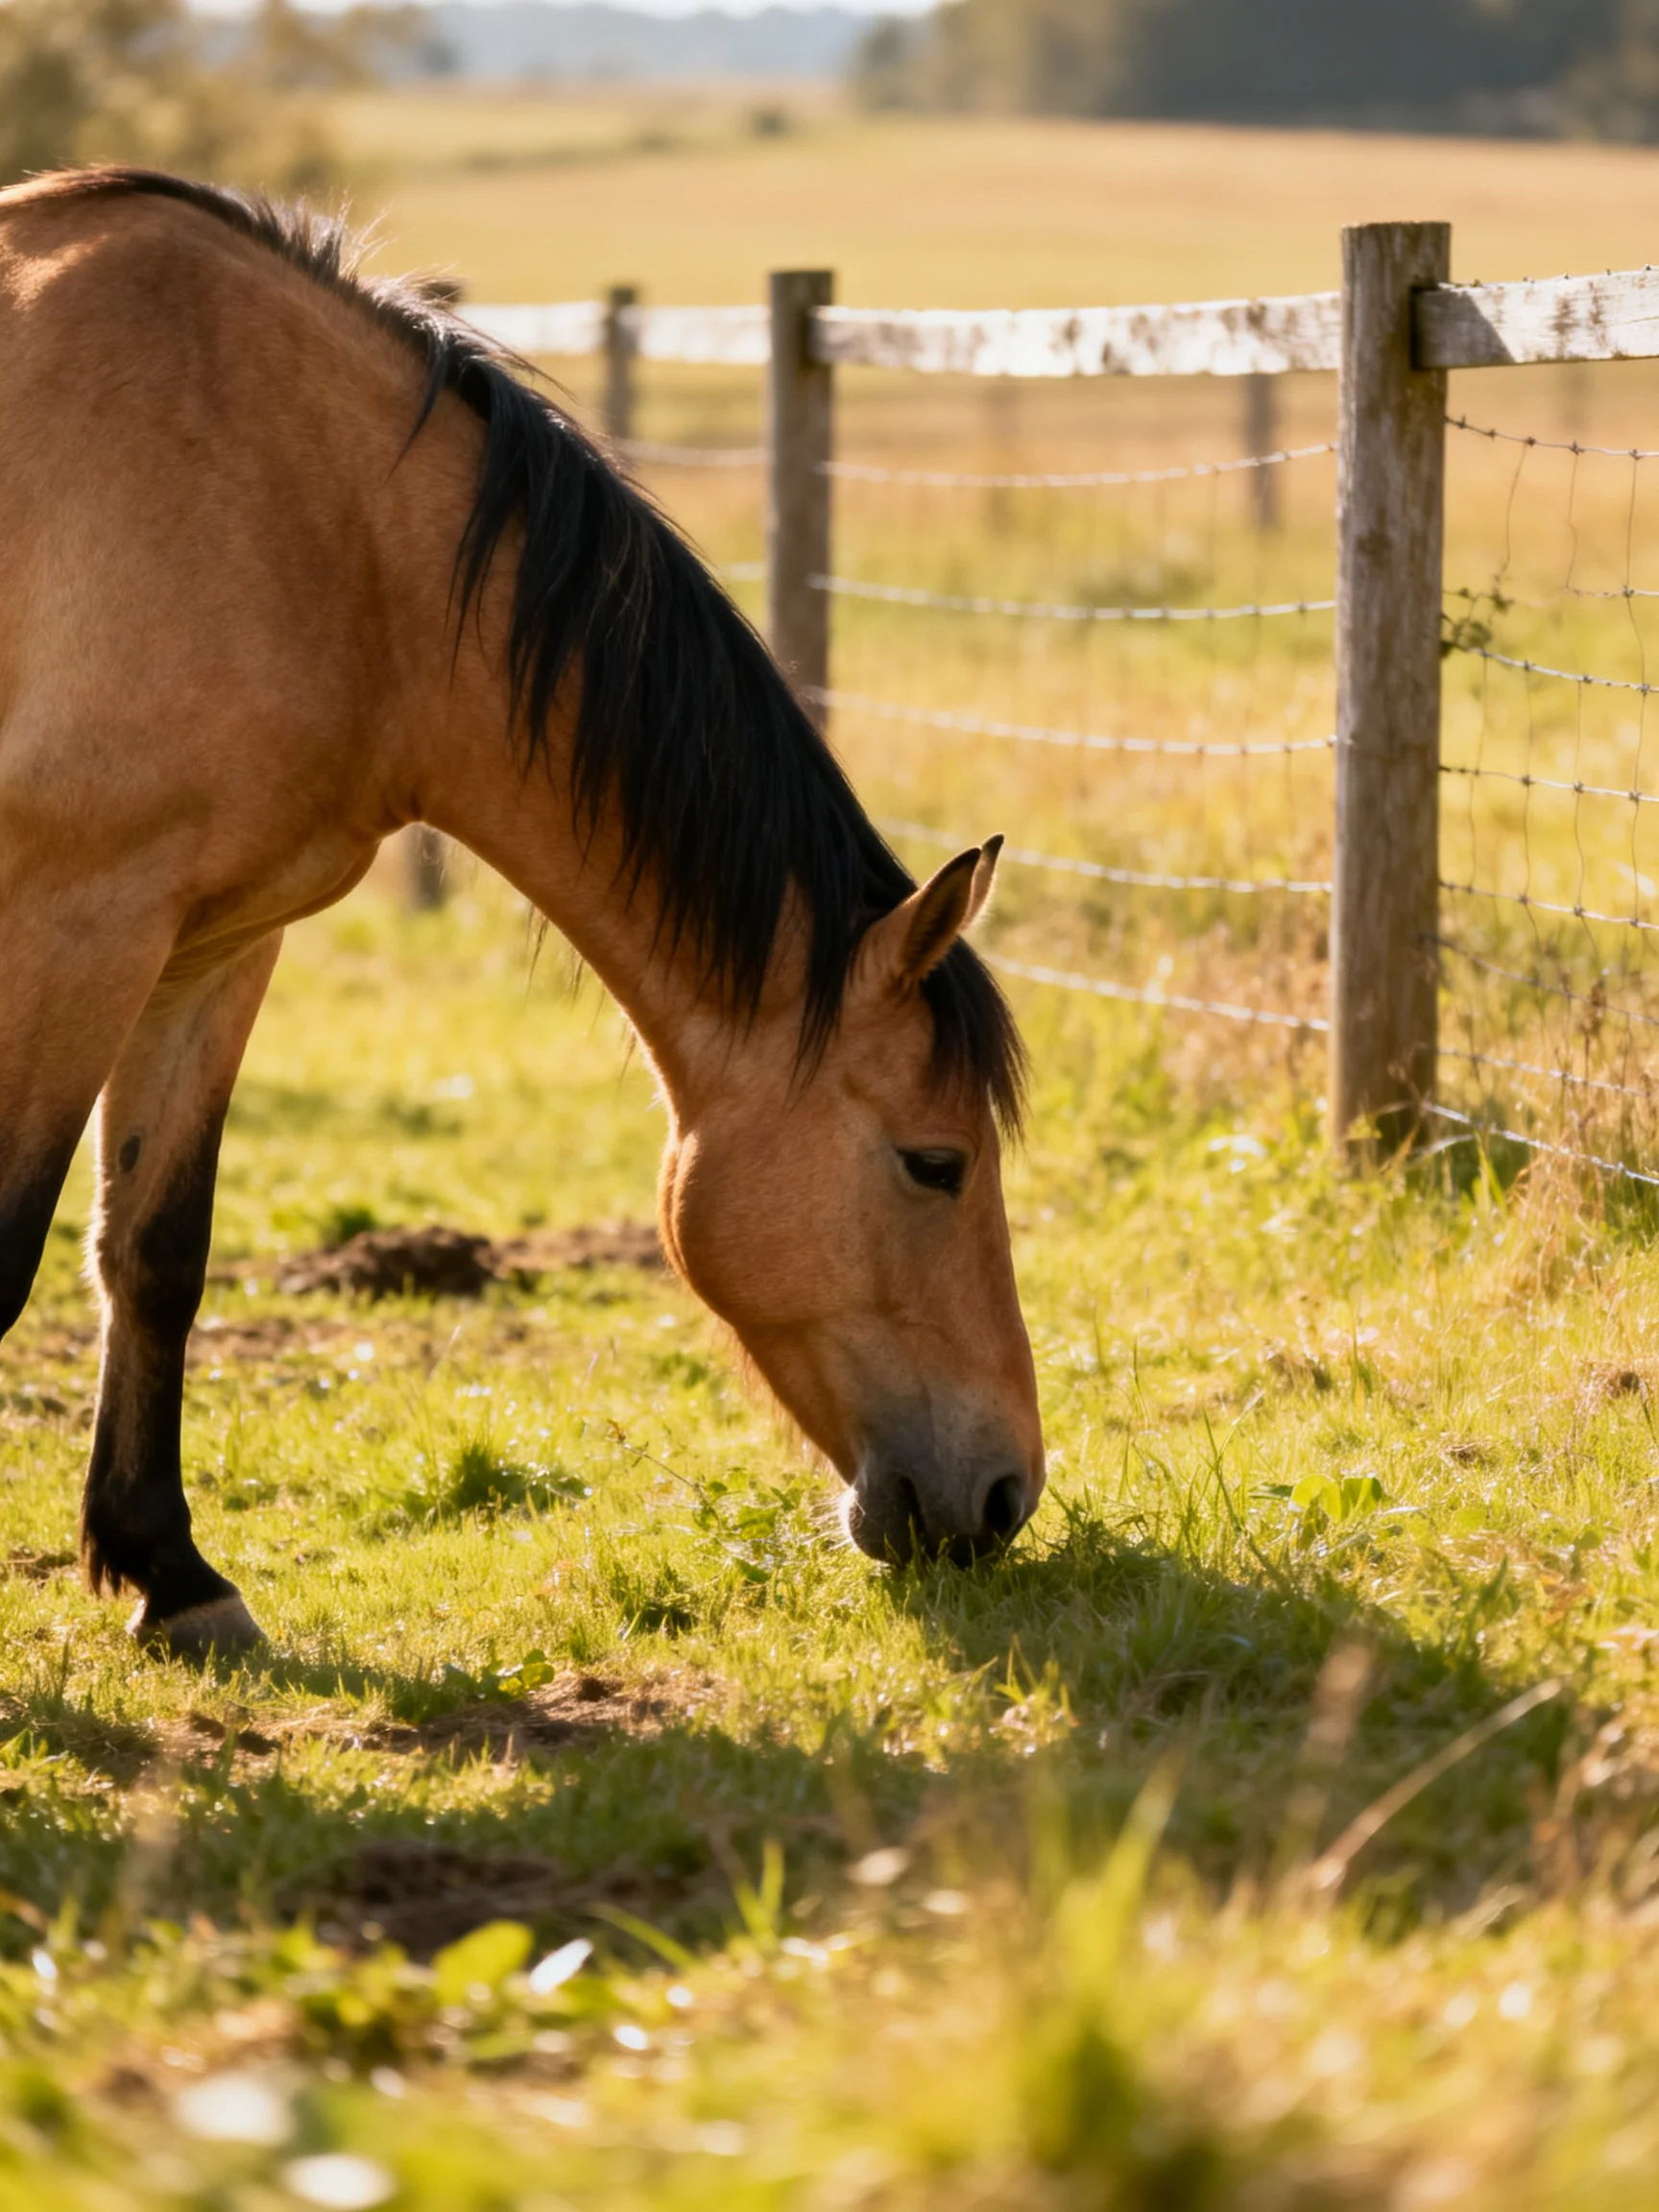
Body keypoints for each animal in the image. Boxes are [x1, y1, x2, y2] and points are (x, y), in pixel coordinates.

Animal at [0, 168, 1043, 1659]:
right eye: (934, 1163)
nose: (1007, 1494)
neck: (308, 515)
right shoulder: (73, 919)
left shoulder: (208, 946)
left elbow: (154, 1252)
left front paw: (173, 1574)